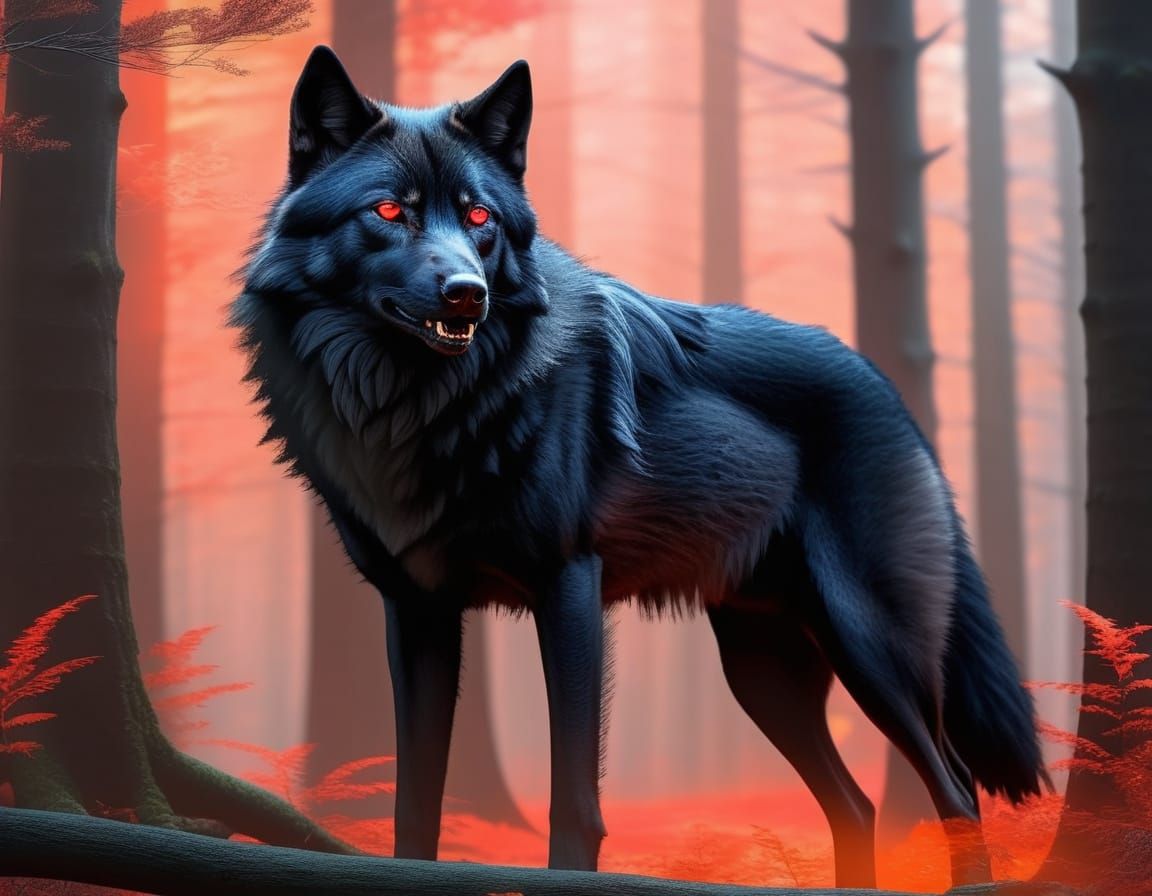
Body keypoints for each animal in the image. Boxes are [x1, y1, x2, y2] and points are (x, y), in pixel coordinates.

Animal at [230, 46, 1048, 888]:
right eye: (391, 212)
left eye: (480, 219)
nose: (467, 294)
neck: (417, 407)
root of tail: (890, 389)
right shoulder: (418, 610)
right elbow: (415, 802)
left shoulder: (568, 587)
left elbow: (573, 803)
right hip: (763, 672)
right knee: (857, 806)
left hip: (869, 648)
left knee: (959, 791)